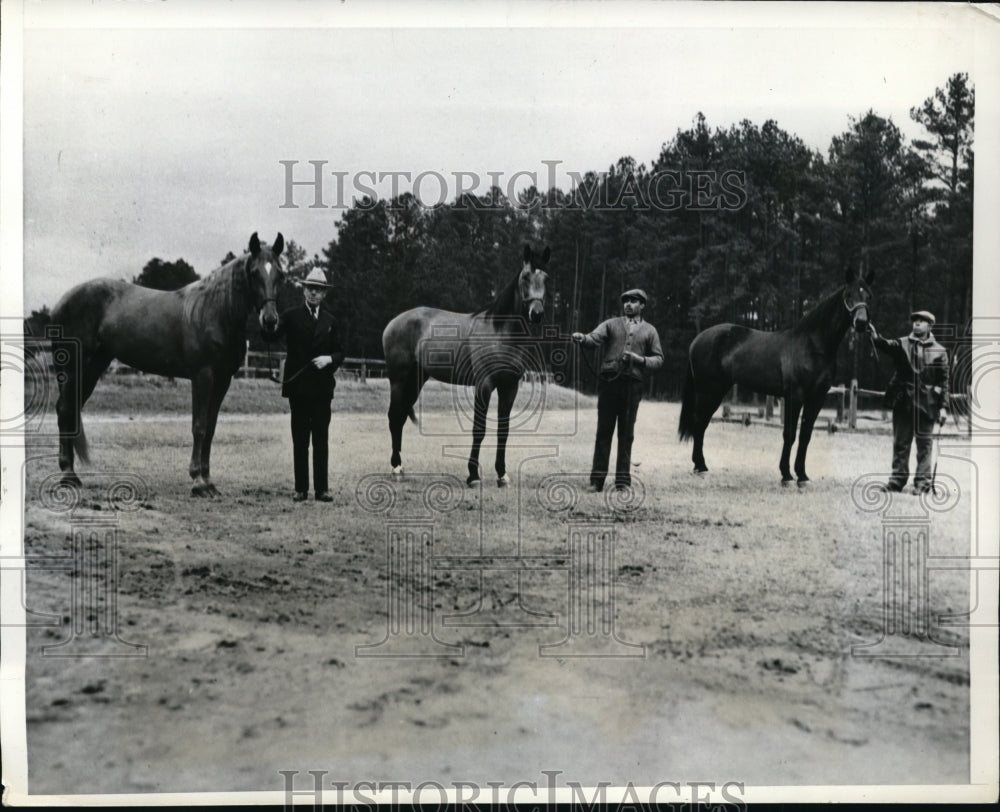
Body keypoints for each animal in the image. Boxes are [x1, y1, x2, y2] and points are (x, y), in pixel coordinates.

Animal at [52, 228, 286, 494]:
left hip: (92, 369)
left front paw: (208, 481)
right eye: (254, 273)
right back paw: (68, 475)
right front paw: (197, 481)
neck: (214, 312)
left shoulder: (222, 379)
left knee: (71, 410)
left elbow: (211, 428)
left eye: (281, 274)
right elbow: (199, 426)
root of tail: (61, 303)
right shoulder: (202, 376)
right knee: (65, 410)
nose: (270, 321)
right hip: (75, 369)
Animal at [382, 244, 556, 486]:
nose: (536, 314)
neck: (499, 331)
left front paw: (502, 474)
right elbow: (479, 429)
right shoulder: (484, 385)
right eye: (525, 277)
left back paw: (400, 465)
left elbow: (503, 430)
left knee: (399, 418)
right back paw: (396, 467)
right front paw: (473, 474)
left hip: (416, 380)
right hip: (398, 379)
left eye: (546, 278)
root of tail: (392, 323)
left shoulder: (509, 387)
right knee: (393, 417)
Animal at [676, 266, 872, 486]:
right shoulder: (795, 396)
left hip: (716, 391)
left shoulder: (817, 398)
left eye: (869, 295)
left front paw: (802, 475)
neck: (812, 345)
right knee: (699, 422)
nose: (861, 323)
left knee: (702, 423)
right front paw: (786, 474)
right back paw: (699, 466)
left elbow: (806, 435)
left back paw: (700, 465)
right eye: (849, 295)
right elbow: (790, 434)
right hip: (707, 391)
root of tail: (697, 339)